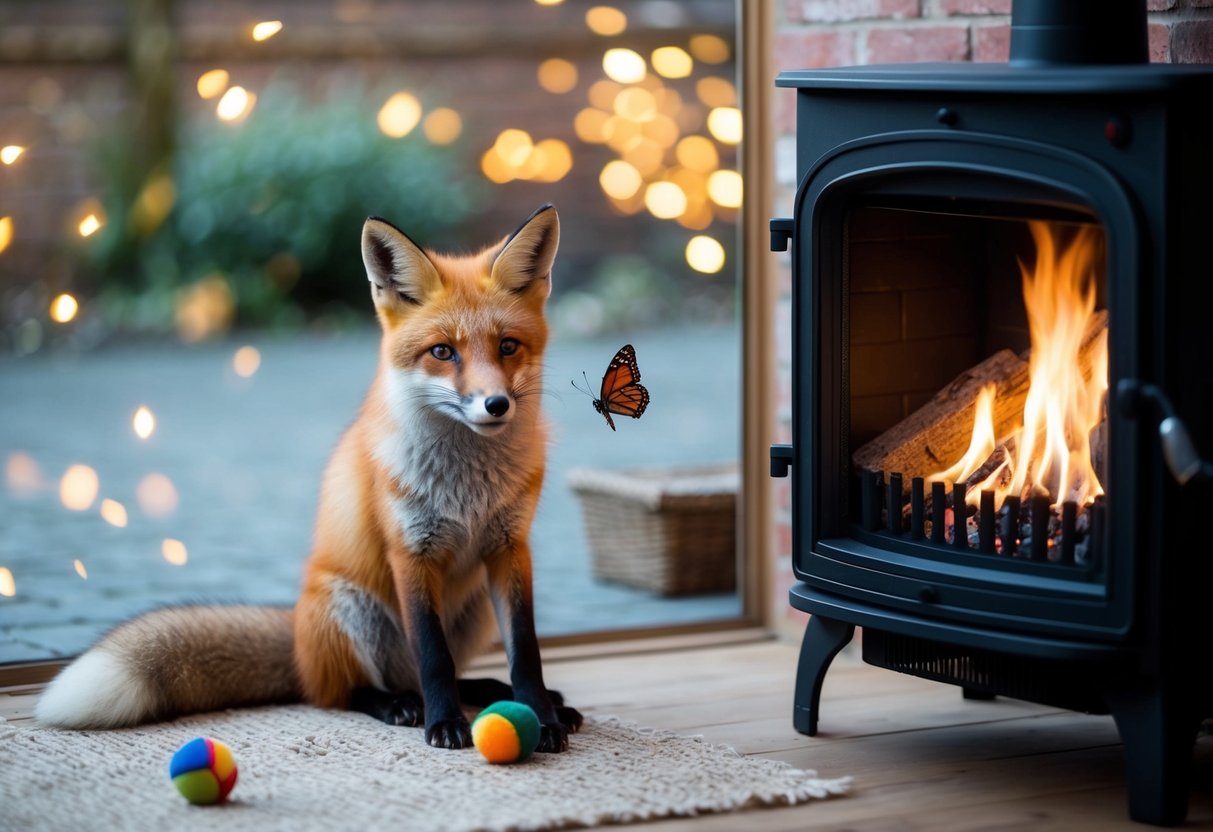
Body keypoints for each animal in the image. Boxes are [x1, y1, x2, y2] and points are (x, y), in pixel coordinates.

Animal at [35, 204, 583, 752]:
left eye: (508, 346)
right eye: (443, 352)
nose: (496, 405)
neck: (467, 488)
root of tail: (297, 637)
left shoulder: (509, 549)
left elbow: (526, 653)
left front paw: (542, 718)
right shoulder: (411, 552)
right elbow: (434, 658)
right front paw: (445, 724)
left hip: (475, 609)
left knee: (441, 675)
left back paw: (515, 695)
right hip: (351, 609)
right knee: (346, 693)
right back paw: (401, 705)